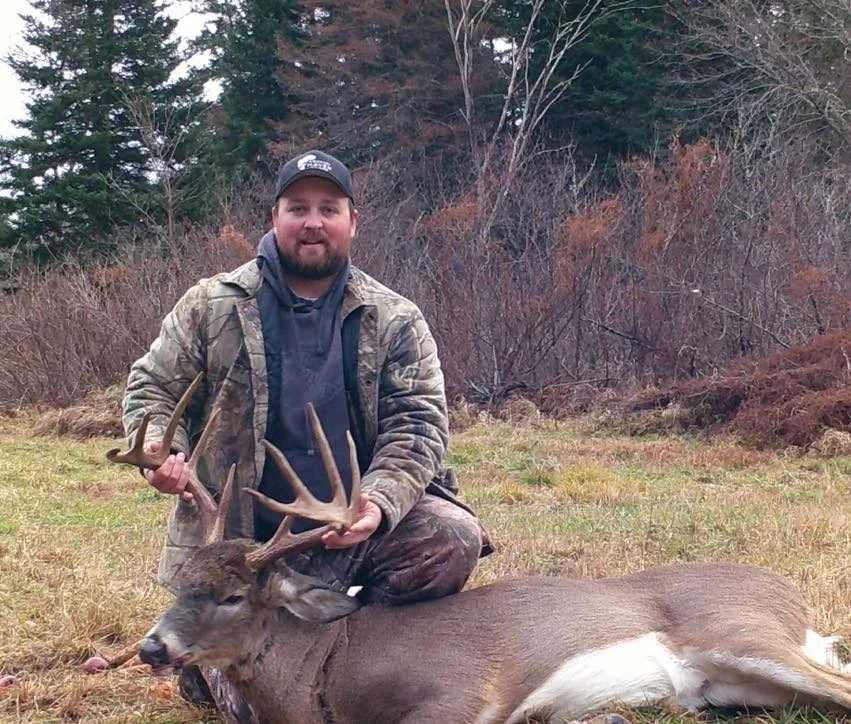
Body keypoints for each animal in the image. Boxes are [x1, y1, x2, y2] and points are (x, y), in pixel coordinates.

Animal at [106, 374, 851, 723]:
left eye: (233, 595)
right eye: (177, 582)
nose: (152, 646)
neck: (325, 673)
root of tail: (792, 597)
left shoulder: (462, 690)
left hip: (740, 631)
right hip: (740, 682)